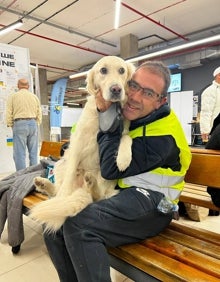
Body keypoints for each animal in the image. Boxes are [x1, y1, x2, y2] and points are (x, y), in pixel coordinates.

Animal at [29, 56, 134, 232]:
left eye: (122, 70)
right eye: (103, 70)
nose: (116, 89)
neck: (104, 114)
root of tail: (81, 188)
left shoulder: (124, 131)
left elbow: (127, 138)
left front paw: (123, 159)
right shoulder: (78, 141)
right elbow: (68, 178)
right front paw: (62, 196)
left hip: (106, 176)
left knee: (97, 196)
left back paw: (91, 183)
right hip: (61, 164)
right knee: (58, 190)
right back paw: (45, 184)